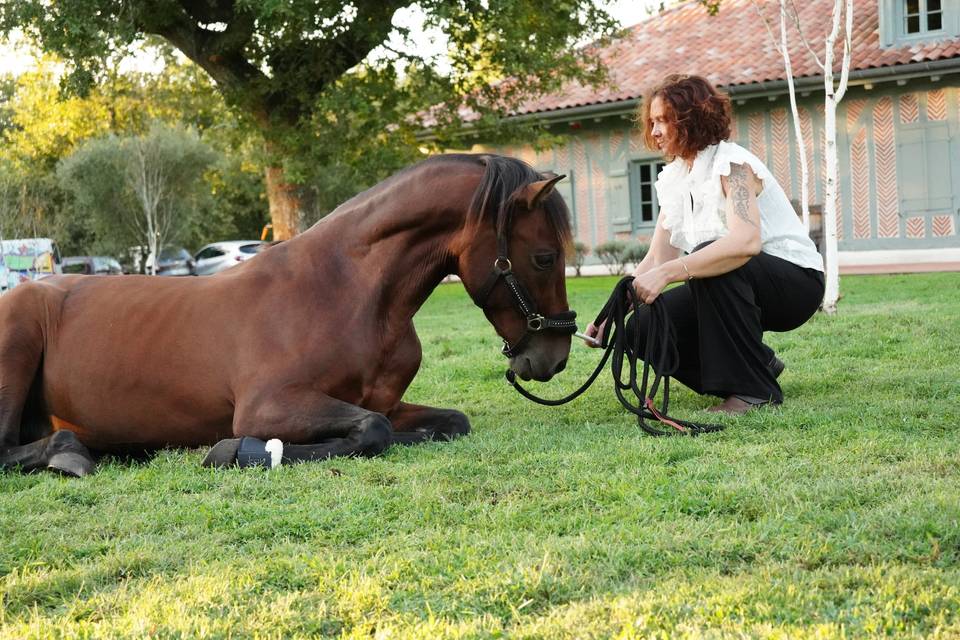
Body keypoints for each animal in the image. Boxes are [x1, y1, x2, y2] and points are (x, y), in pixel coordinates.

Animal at [0, 154, 576, 476]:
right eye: (545, 256)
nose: (554, 357)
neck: (343, 293)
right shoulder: (269, 406)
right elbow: (373, 431)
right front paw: (241, 452)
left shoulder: (385, 401)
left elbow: (448, 422)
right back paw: (70, 455)